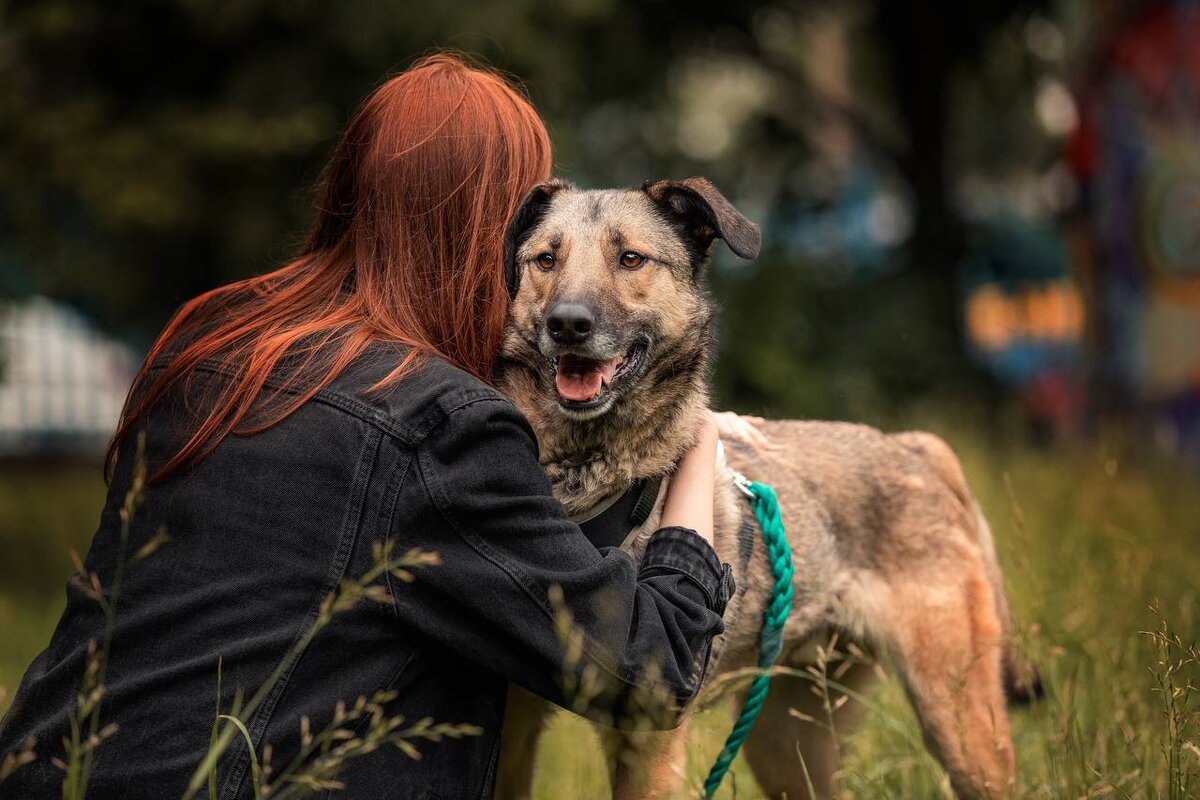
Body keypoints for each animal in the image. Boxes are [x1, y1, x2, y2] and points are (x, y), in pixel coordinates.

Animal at [492, 178, 1036, 796]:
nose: (567, 323)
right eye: (546, 260)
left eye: (630, 258)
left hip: (960, 726)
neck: (584, 476)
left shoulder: (649, 741)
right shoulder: (512, 730)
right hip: (788, 746)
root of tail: (912, 445)